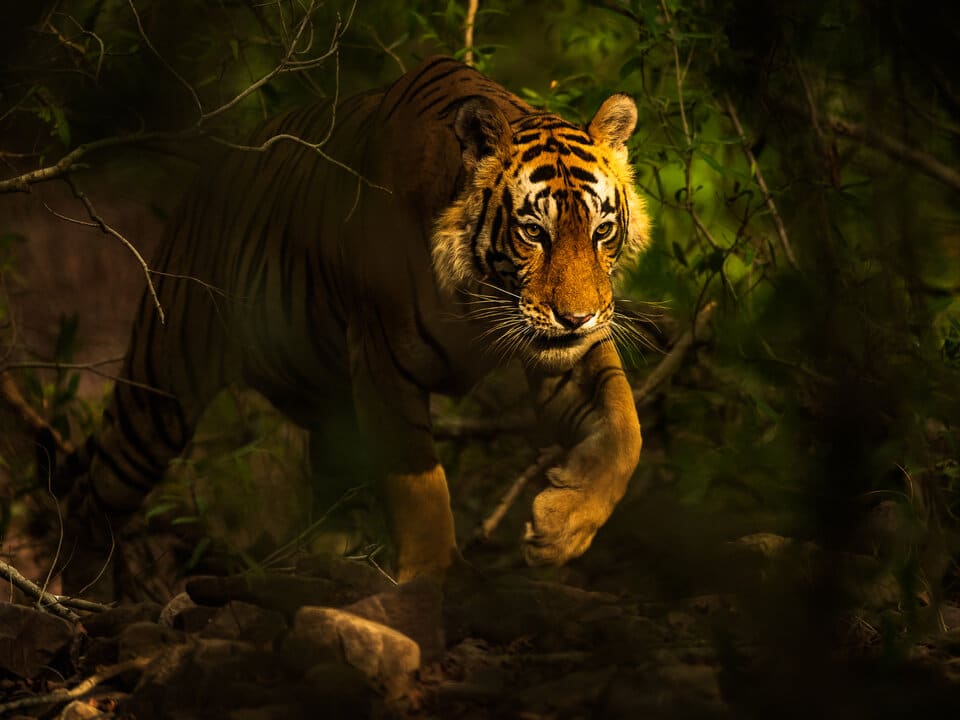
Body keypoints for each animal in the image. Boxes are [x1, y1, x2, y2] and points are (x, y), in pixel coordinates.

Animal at [60, 55, 649, 591]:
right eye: (533, 232)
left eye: (601, 231)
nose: (576, 317)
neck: (480, 301)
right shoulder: (385, 361)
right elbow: (419, 485)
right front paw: (435, 578)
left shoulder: (570, 356)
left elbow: (625, 431)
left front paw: (559, 530)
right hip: (158, 393)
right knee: (93, 490)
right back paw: (85, 594)